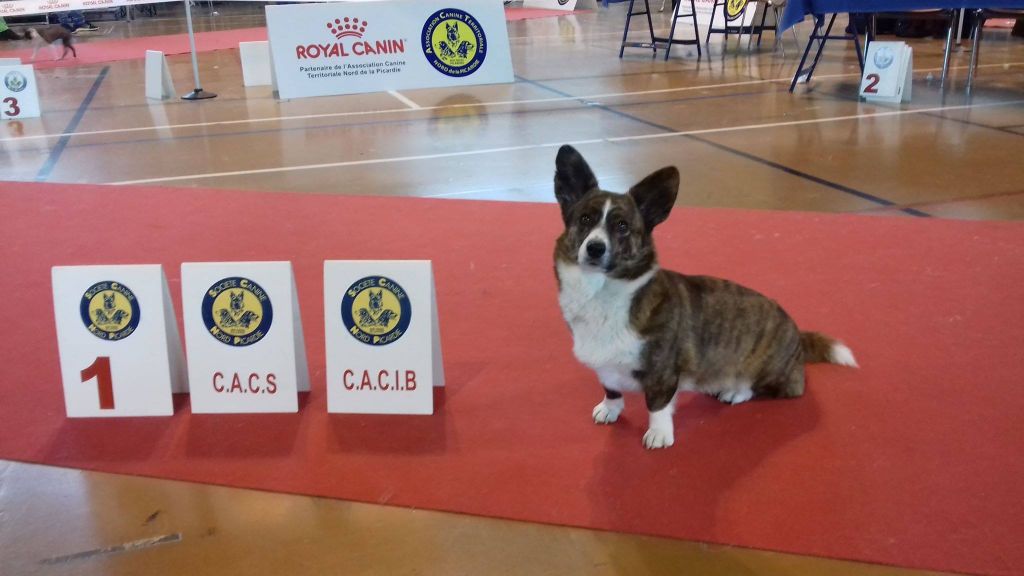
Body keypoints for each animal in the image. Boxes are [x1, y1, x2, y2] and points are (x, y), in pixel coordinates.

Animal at [552, 143, 856, 448]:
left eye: (622, 226)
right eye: (585, 219)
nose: (595, 248)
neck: (601, 291)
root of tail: (797, 333)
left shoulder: (663, 374)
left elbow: (657, 405)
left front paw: (659, 434)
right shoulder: (605, 368)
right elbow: (611, 388)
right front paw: (610, 409)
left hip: (771, 373)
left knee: (770, 386)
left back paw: (736, 391)